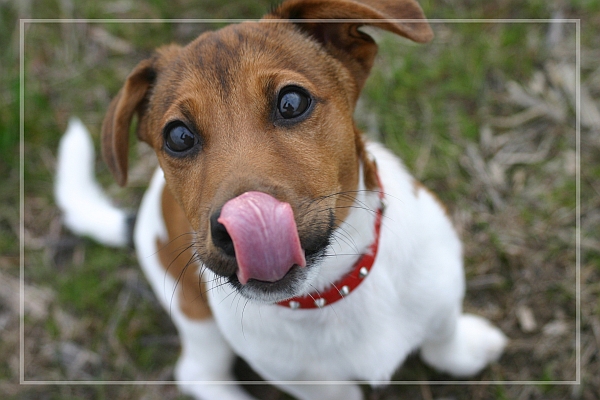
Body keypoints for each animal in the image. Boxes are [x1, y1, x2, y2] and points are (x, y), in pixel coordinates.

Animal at [55, 0, 506, 400]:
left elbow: (442, 337)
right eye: (178, 136)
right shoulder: (310, 382)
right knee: (199, 373)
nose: (238, 229)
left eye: (291, 102)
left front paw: (467, 352)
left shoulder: (440, 291)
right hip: (194, 314)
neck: (331, 290)